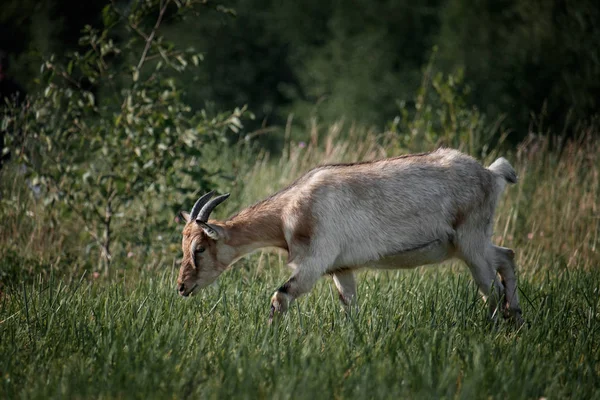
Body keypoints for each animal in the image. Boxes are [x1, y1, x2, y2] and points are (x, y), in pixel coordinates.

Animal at [177, 148, 520, 324]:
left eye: (200, 248)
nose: (181, 287)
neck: (291, 209)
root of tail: (491, 174)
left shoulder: (315, 262)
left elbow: (280, 296)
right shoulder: (341, 268)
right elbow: (349, 305)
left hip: (471, 243)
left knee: (490, 288)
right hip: (469, 244)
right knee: (506, 257)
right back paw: (516, 318)